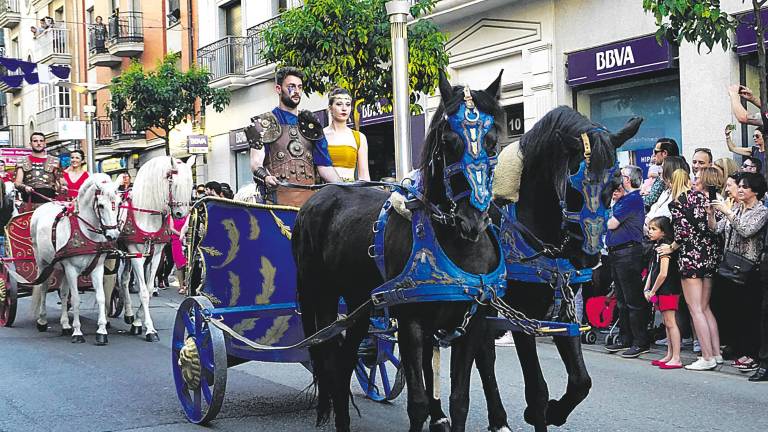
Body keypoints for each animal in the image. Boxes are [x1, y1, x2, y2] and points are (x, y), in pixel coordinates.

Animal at [29, 174, 121, 346]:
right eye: (101, 205)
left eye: (119, 203)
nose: (113, 235)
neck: (86, 232)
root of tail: (43, 206)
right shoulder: (72, 269)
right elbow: (77, 299)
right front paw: (77, 332)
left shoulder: (97, 268)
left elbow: (101, 297)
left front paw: (101, 331)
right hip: (43, 263)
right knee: (44, 288)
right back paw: (42, 321)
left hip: (62, 267)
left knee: (64, 293)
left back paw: (65, 324)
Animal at [119, 155, 195, 340]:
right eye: (174, 183)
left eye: (191, 185)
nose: (181, 215)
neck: (146, 214)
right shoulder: (137, 255)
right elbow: (143, 292)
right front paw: (149, 329)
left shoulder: (155, 256)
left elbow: (149, 288)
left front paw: (138, 323)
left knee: (123, 280)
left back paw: (129, 314)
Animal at [294, 71, 510, 432]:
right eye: (447, 142)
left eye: (492, 140)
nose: (472, 220)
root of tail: (317, 197)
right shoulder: (411, 325)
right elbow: (419, 402)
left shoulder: (472, 324)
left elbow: (460, 400)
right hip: (320, 295)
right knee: (328, 356)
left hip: (359, 305)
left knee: (344, 360)